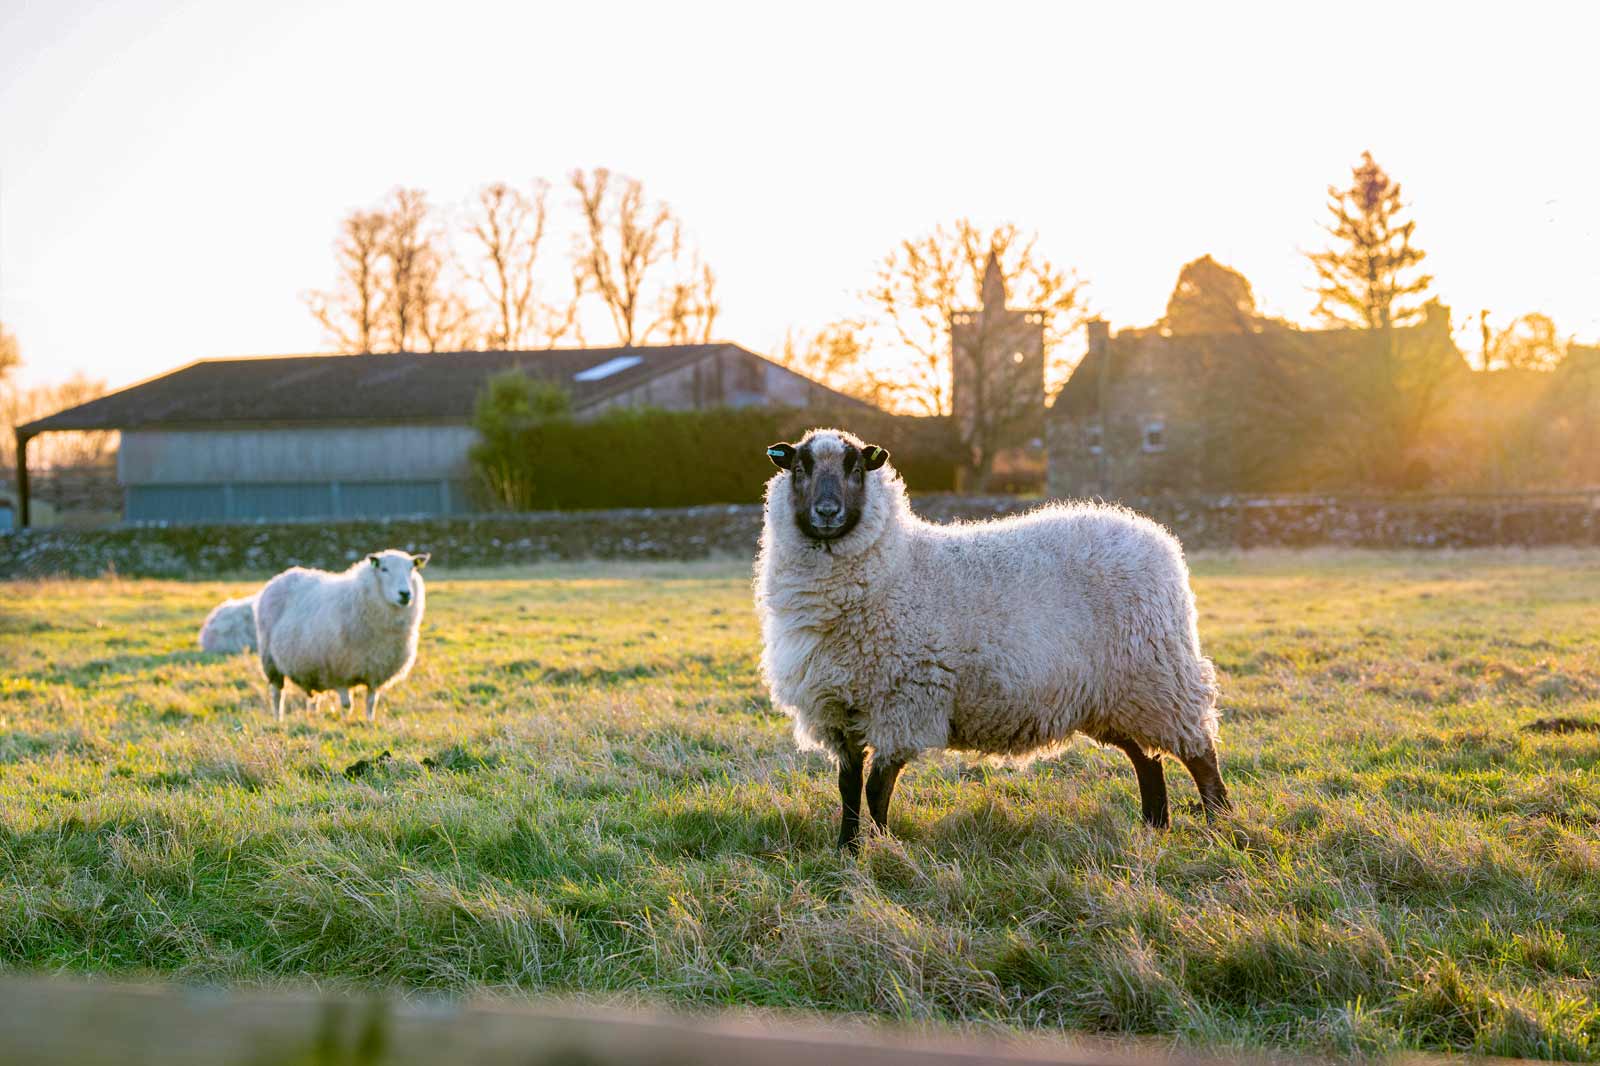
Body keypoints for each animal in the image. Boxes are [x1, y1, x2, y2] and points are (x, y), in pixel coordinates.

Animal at [251, 547, 428, 723]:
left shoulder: (376, 672)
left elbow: (371, 702)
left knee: (313, 699)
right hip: (270, 661)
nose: (405, 593)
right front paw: (345, 723)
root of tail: (283, 575)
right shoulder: (339, 671)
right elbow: (346, 705)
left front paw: (370, 722)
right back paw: (278, 719)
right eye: (384, 569)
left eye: (412, 569)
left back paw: (313, 718)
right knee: (277, 694)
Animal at [755, 428, 1228, 851]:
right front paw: (847, 850)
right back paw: (1155, 828)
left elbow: (877, 788)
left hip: (1158, 679)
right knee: (1147, 759)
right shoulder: (839, 709)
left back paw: (1220, 825)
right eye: (800, 467)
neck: (898, 565)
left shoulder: (902, 704)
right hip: (1116, 694)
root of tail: (1156, 537)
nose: (827, 511)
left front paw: (885, 847)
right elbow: (848, 785)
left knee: (1200, 754)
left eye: (855, 468)